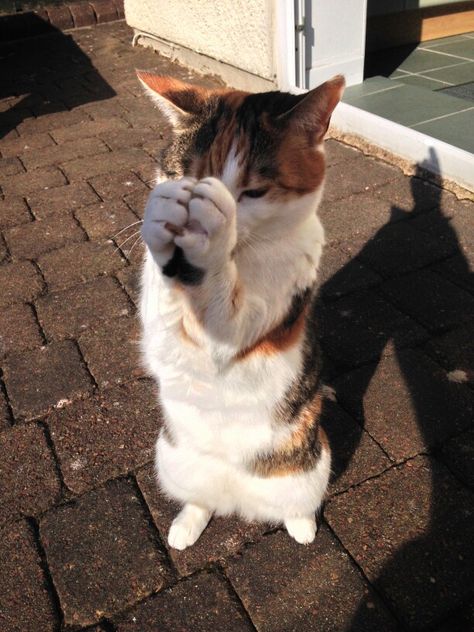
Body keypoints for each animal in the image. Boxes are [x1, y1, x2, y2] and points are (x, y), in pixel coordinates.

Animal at [137, 71, 344, 548]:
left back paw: (302, 526)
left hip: (310, 465)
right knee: (199, 500)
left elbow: (225, 323)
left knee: (296, 504)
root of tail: (236, 500)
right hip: (170, 457)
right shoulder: (161, 332)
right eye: (185, 175)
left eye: (254, 192)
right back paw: (187, 525)